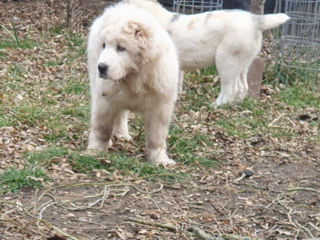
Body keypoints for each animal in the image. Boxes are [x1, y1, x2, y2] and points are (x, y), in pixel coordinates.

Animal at [86, 1, 180, 166]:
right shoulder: (105, 99)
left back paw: (122, 135)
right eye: (104, 45)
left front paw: (160, 160)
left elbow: (157, 135)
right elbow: (101, 128)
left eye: (121, 48)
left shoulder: (160, 105)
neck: (133, 76)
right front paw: (95, 151)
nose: (101, 67)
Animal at [124, 0, 288, 106]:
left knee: (230, 88)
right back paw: (235, 104)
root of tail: (255, 20)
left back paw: (216, 105)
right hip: (242, 63)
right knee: (242, 87)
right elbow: (177, 83)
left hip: (225, 59)